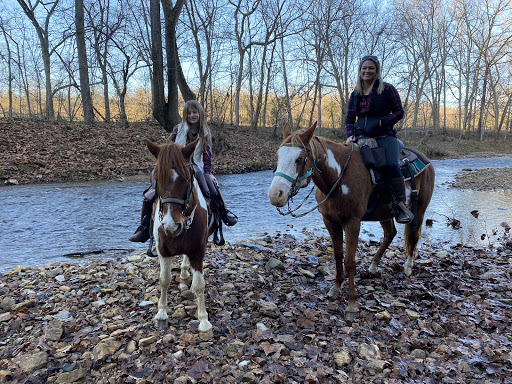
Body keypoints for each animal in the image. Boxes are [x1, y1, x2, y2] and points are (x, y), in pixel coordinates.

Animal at [146, 139, 214, 332]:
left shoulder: (198, 251)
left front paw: (203, 321)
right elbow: (164, 280)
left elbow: (199, 285)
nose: (171, 226)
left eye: (185, 178)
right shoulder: (163, 250)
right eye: (157, 178)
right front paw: (161, 313)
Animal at [268, 123, 436, 320]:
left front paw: (352, 303)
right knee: (390, 234)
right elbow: (338, 255)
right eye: (277, 157)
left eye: (299, 158)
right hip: (385, 212)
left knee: (413, 235)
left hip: (419, 209)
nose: (275, 195)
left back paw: (408, 267)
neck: (338, 177)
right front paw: (335, 287)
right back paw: (373, 266)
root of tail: (426, 159)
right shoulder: (330, 222)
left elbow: (349, 261)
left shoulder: (352, 223)